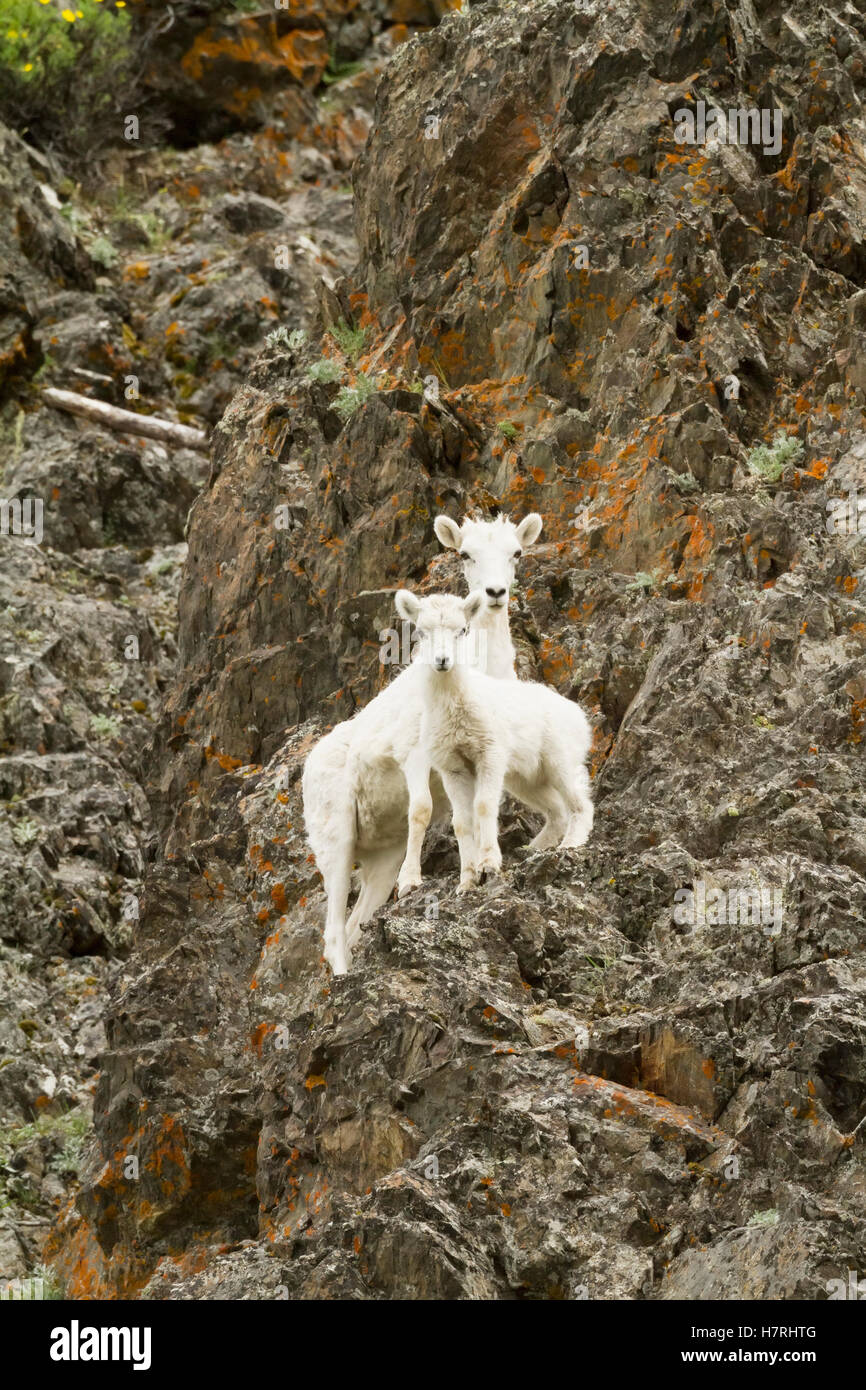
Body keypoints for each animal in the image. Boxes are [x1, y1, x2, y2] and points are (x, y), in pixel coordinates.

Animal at [302, 513, 543, 975]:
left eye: (517, 553)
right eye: (465, 553)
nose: (495, 594)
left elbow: (475, 814)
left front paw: (479, 870)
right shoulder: (416, 757)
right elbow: (423, 810)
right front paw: (414, 882)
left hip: (380, 858)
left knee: (356, 925)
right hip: (336, 843)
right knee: (334, 934)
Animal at [393, 589, 594, 891]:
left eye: (462, 630)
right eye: (421, 632)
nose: (442, 661)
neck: (455, 707)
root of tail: (578, 716)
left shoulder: (489, 755)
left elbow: (484, 806)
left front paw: (488, 864)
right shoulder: (452, 768)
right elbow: (462, 822)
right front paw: (467, 880)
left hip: (559, 762)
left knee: (580, 803)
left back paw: (570, 845)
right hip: (525, 779)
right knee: (556, 811)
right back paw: (534, 849)